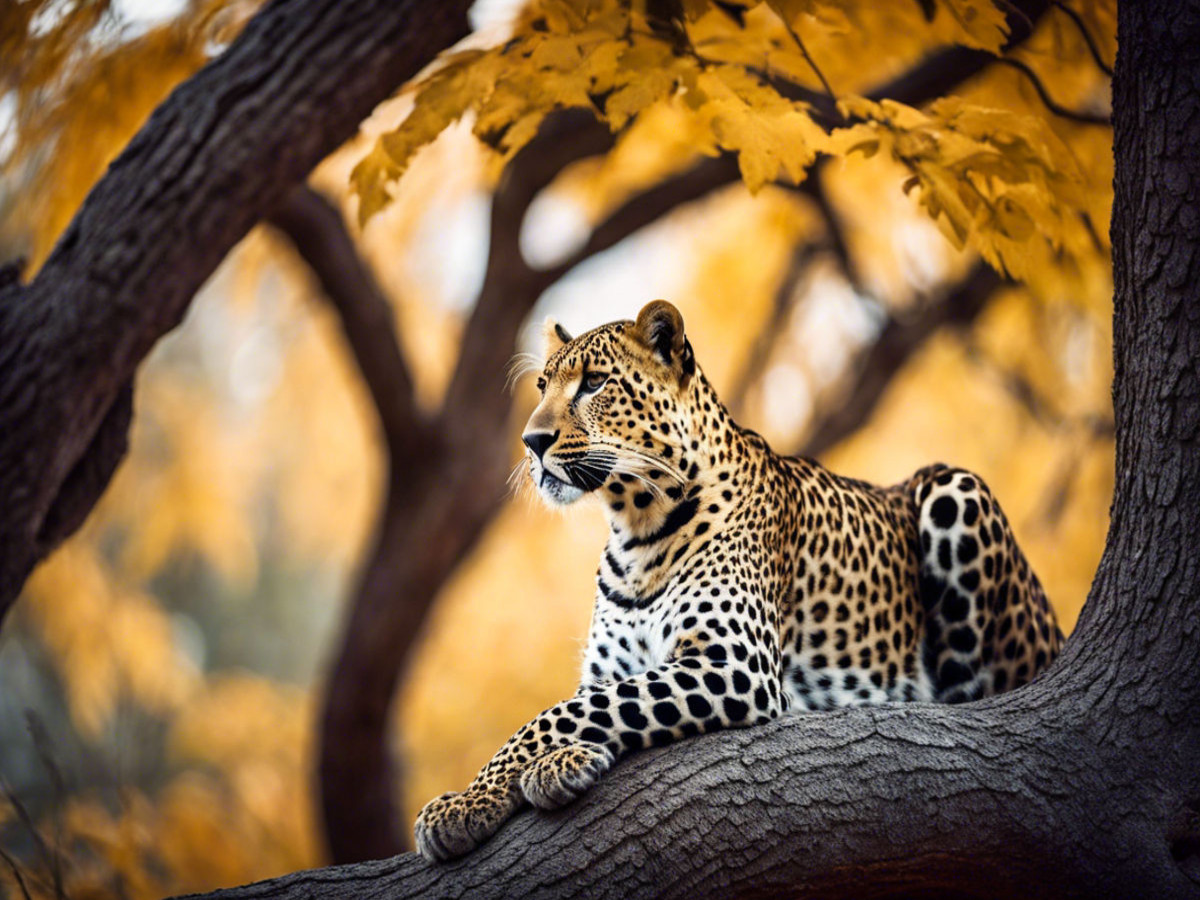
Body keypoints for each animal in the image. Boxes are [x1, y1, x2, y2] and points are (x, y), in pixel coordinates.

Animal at [415, 300, 1060, 864]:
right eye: (542, 387)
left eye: (595, 383)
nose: (532, 442)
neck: (635, 528)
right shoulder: (612, 668)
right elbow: (586, 702)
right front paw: (555, 766)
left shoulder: (733, 663)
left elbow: (560, 713)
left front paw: (466, 804)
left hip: (957, 490)